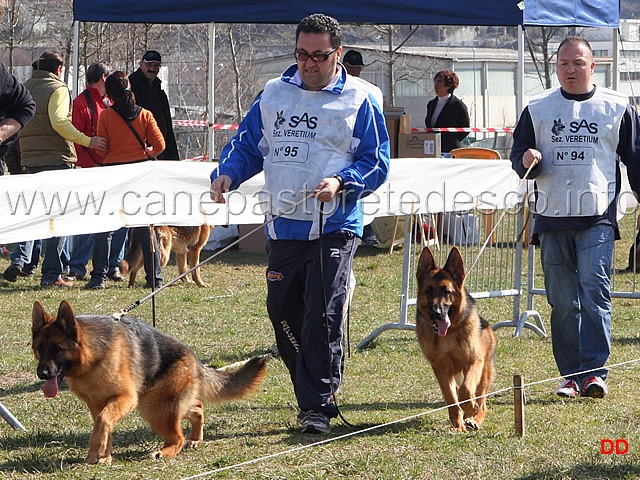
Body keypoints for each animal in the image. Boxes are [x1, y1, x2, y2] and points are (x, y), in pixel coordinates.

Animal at [31, 300, 266, 464]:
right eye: (40, 348)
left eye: (58, 348)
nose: (42, 373)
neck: (93, 357)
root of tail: (194, 359)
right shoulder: (97, 403)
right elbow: (103, 424)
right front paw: (105, 456)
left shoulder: (125, 398)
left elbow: (103, 421)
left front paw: (96, 450)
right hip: (158, 404)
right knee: (197, 407)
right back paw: (196, 439)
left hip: (155, 408)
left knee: (178, 437)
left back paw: (164, 451)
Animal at [416, 248, 496, 432]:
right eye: (428, 290)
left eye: (446, 291)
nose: (436, 313)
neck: (449, 334)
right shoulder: (440, 369)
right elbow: (452, 399)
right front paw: (458, 425)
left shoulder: (474, 361)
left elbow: (466, 391)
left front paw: (470, 408)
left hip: (484, 371)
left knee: (482, 402)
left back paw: (475, 418)